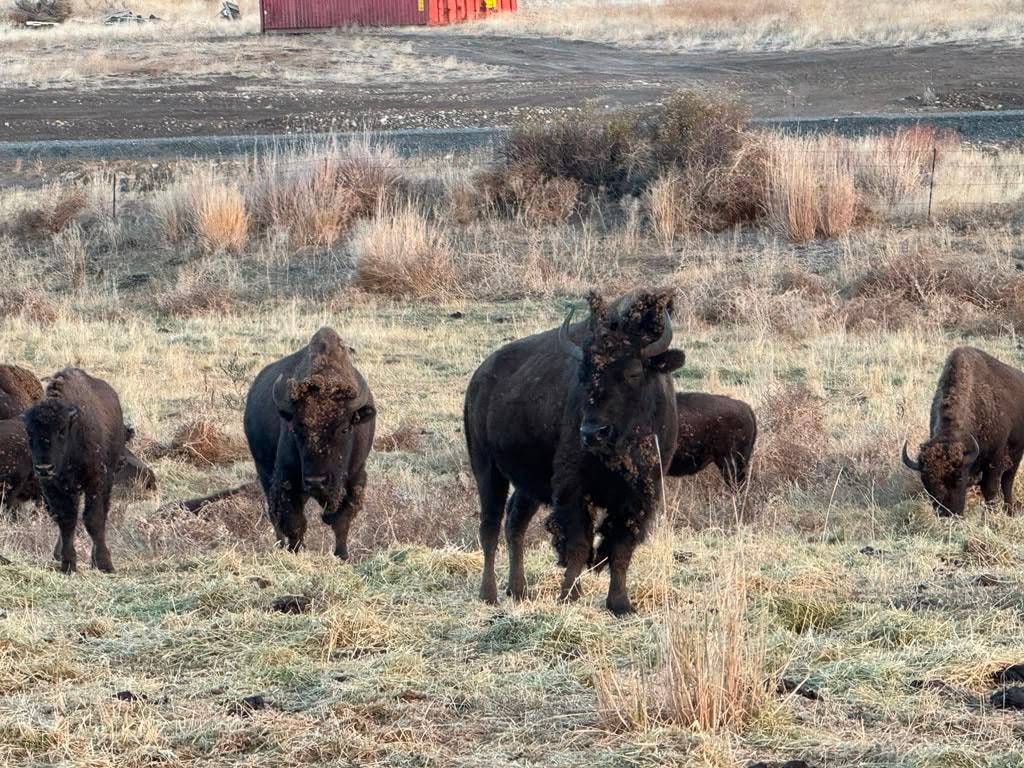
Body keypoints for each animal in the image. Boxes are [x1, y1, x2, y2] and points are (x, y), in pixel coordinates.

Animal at [22, 368, 126, 573]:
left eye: (62, 431)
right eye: (30, 432)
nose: (44, 468)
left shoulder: (95, 481)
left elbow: (93, 519)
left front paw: (104, 564)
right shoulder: (53, 487)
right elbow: (66, 520)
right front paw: (68, 564)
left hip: (107, 476)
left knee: (102, 512)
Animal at [244, 327, 376, 558]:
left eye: (344, 429)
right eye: (296, 430)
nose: (316, 481)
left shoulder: (356, 477)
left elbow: (342, 522)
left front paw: (342, 555)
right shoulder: (286, 481)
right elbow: (295, 524)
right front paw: (296, 552)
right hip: (263, 471)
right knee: (274, 514)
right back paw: (280, 546)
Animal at [465, 290, 685, 616]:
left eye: (633, 372)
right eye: (583, 374)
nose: (593, 432)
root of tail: (479, 378)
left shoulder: (640, 496)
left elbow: (621, 548)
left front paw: (620, 604)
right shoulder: (575, 490)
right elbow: (579, 544)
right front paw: (569, 595)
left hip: (529, 484)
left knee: (514, 523)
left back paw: (518, 591)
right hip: (487, 468)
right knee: (489, 527)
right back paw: (489, 595)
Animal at [902, 346, 1024, 516]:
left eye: (959, 478)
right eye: (927, 482)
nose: (948, 513)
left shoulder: (995, 459)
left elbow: (990, 488)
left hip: (1017, 454)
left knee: (1008, 480)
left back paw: (1009, 509)